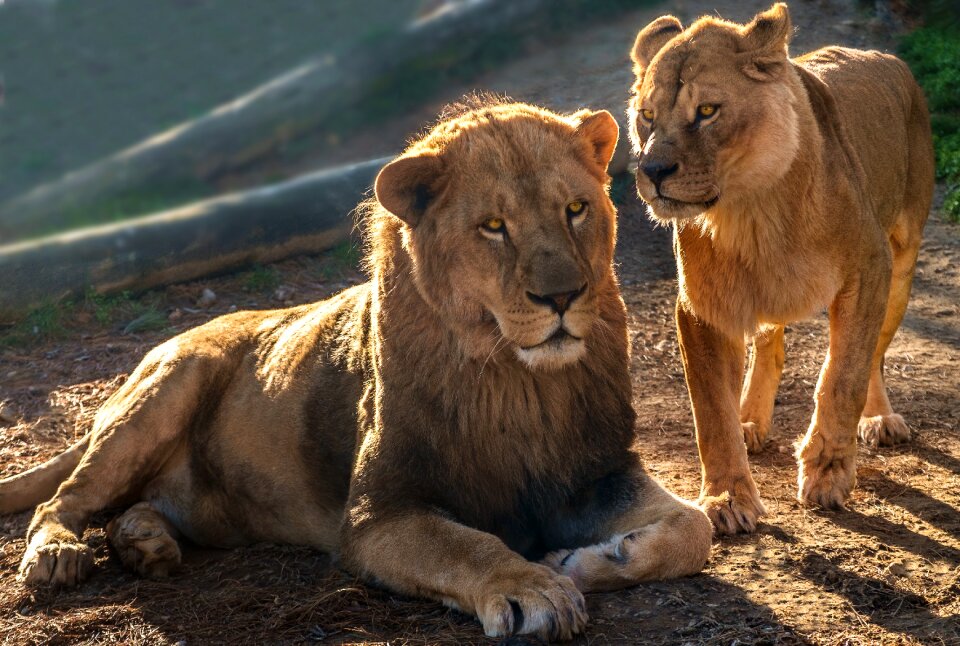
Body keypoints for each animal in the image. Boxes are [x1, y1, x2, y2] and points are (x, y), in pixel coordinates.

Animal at [1, 100, 712, 644]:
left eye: (575, 210)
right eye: (493, 226)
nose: (563, 297)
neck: (519, 384)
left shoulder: (597, 474)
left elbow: (694, 528)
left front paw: (582, 561)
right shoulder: (376, 515)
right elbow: (467, 545)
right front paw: (533, 587)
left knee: (131, 508)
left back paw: (145, 543)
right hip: (171, 383)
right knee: (63, 501)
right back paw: (58, 555)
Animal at [628, 1, 932, 536]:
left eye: (707, 111)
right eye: (647, 116)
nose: (652, 171)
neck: (752, 211)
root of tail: (886, 57)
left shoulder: (868, 269)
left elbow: (844, 375)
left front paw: (827, 472)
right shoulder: (702, 305)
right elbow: (712, 412)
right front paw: (727, 497)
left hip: (903, 260)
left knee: (875, 354)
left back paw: (879, 419)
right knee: (770, 346)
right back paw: (751, 420)